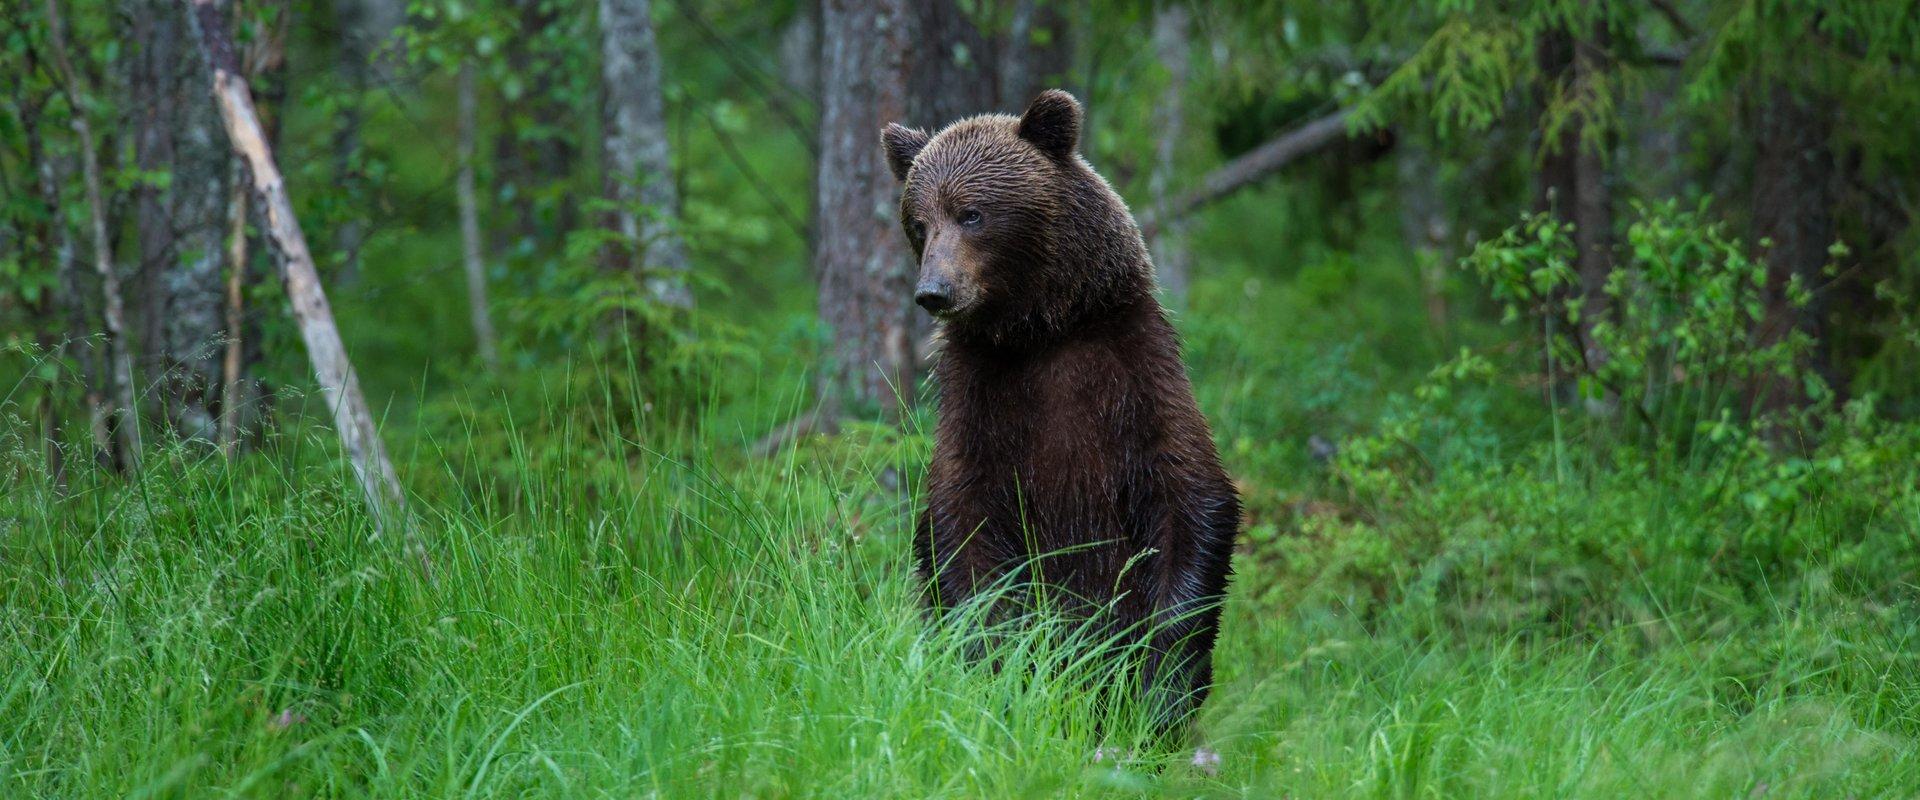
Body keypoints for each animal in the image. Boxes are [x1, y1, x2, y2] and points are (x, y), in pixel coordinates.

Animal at [883, 90, 1244, 740]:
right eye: (919, 222)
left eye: (972, 213)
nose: (934, 291)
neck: (1041, 331)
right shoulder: (977, 398)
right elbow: (960, 524)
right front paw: (1000, 666)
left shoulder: (1135, 373)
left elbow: (1190, 496)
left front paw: (1159, 686)